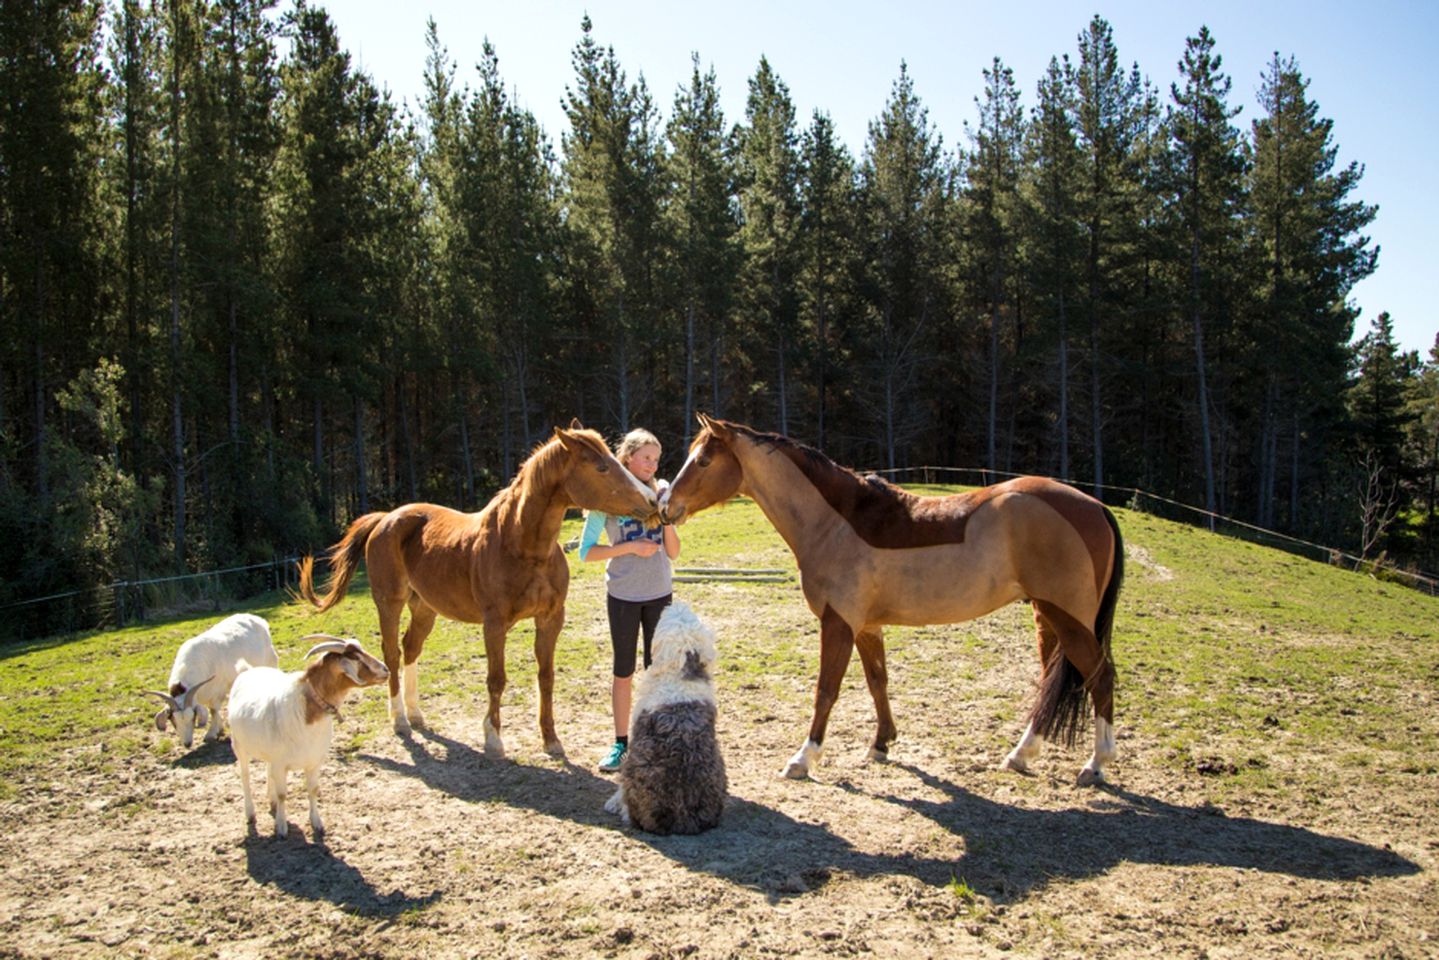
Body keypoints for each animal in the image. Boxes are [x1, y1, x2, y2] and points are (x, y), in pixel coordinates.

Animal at [146, 616, 277, 748]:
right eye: (173, 720)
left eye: (193, 717)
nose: (187, 744)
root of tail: (257, 619)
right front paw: (220, 728)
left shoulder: (218, 691)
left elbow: (213, 711)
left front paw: (211, 733)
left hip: (270, 660)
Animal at [228, 633, 388, 834]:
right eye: (356, 658)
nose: (386, 670)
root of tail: (247, 670)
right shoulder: (280, 763)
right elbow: (283, 794)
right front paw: (281, 827)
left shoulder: (314, 761)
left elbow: (312, 790)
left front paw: (316, 822)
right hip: (239, 745)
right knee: (245, 776)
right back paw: (250, 813)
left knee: (267, 770)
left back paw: (271, 801)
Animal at [297, 420, 659, 759]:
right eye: (601, 467)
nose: (652, 500)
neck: (522, 545)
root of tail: (387, 518)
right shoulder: (494, 624)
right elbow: (496, 679)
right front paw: (494, 739)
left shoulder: (551, 618)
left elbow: (546, 676)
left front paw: (551, 739)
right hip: (389, 603)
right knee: (392, 653)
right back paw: (400, 720)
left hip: (424, 607)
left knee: (410, 648)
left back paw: (416, 715)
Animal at [661, 411, 1122, 782]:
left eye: (703, 460)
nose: (667, 507)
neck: (836, 523)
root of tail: (1094, 506)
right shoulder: (866, 626)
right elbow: (877, 681)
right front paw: (881, 744)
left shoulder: (838, 623)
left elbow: (826, 690)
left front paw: (804, 759)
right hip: (1047, 617)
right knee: (1050, 681)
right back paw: (1021, 754)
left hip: (1069, 619)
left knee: (1101, 677)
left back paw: (1096, 764)